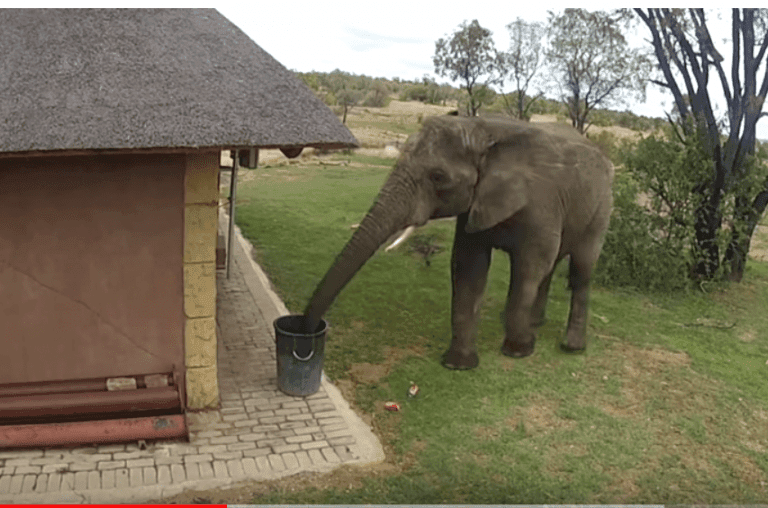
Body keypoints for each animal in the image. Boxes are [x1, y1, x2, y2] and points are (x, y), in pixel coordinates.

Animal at [303, 115, 614, 369]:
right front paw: (458, 364)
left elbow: (529, 269)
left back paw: (571, 346)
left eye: (438, 176)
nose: (309, 332)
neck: (482, 130)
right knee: (552, 269)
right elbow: (468, 268)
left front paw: (519, 350)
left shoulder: (541, 203)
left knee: (581, 269)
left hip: (602, 206)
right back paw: (535, 324)